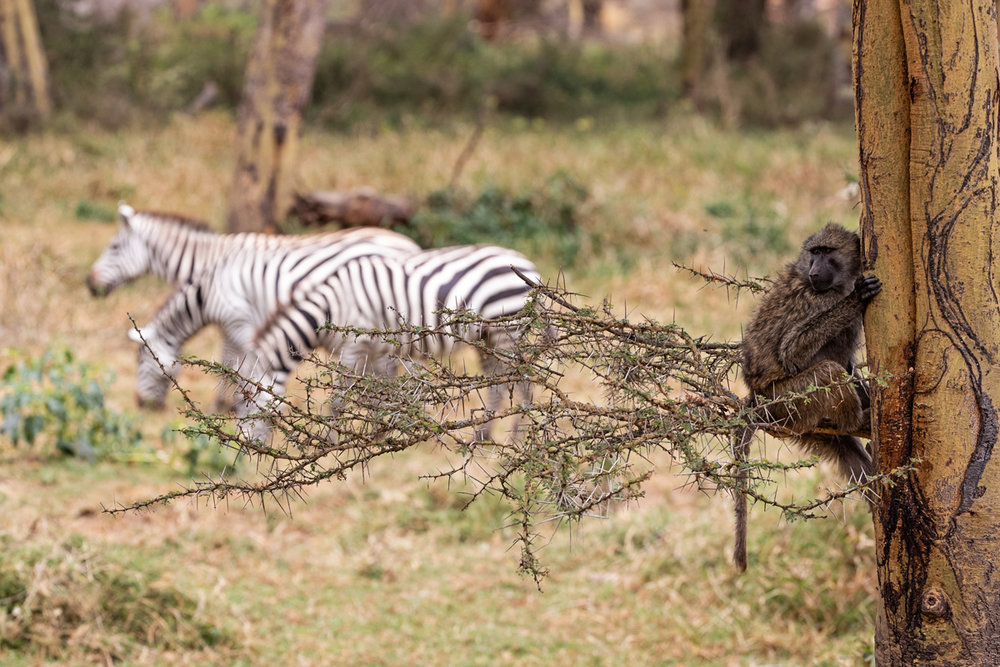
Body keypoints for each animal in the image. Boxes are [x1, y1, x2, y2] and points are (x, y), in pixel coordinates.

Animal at [133, 243, 544, 440]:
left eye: (248, 408)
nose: (245, 450)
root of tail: (528, 265)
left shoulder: (353, 346)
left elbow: (339, 399)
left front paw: (334, 439)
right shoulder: (373, 349)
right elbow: (378, 392)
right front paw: (385, 429)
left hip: (508, 330)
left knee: (522, 382)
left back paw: (517, 438)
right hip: (489, 336)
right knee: (498, 382)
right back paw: (482, 434)